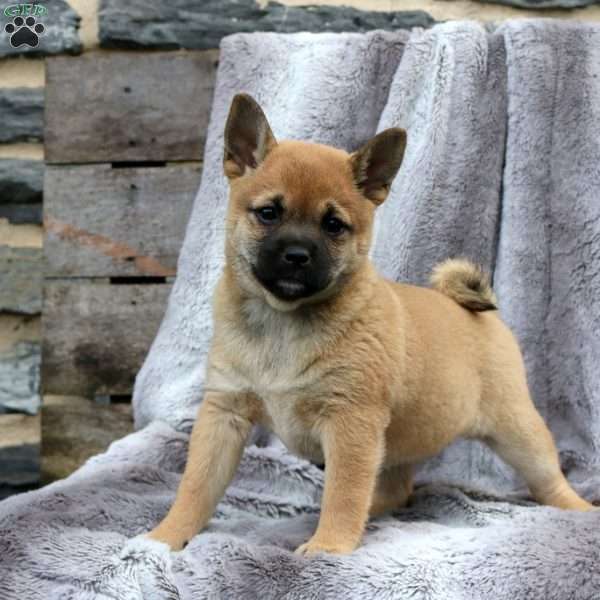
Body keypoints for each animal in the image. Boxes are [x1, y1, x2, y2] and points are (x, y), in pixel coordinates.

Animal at [149, 95, 592, 556]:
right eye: (269, 213)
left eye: (333, 225)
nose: (296, 255)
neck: (283, 320)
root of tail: (475, 311)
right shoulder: (224, 415)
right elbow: (196, 486)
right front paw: (166, 536)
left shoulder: (350, 424)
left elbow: (343, 492)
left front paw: (329, 547)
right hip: (402, 441)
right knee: (394, 488)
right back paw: (372, 514)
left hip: (518, 431)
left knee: (548, 478)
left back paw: (579, 510)